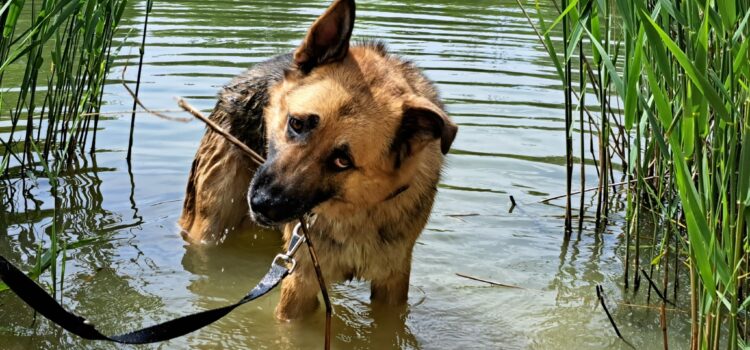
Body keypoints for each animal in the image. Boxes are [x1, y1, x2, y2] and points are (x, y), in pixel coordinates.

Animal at [179, 0, 458, 320]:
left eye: (342, 161)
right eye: (297, 123)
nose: (262, 203)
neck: (357, 212)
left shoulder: (393, 282)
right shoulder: (299, 284)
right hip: (208, 227)